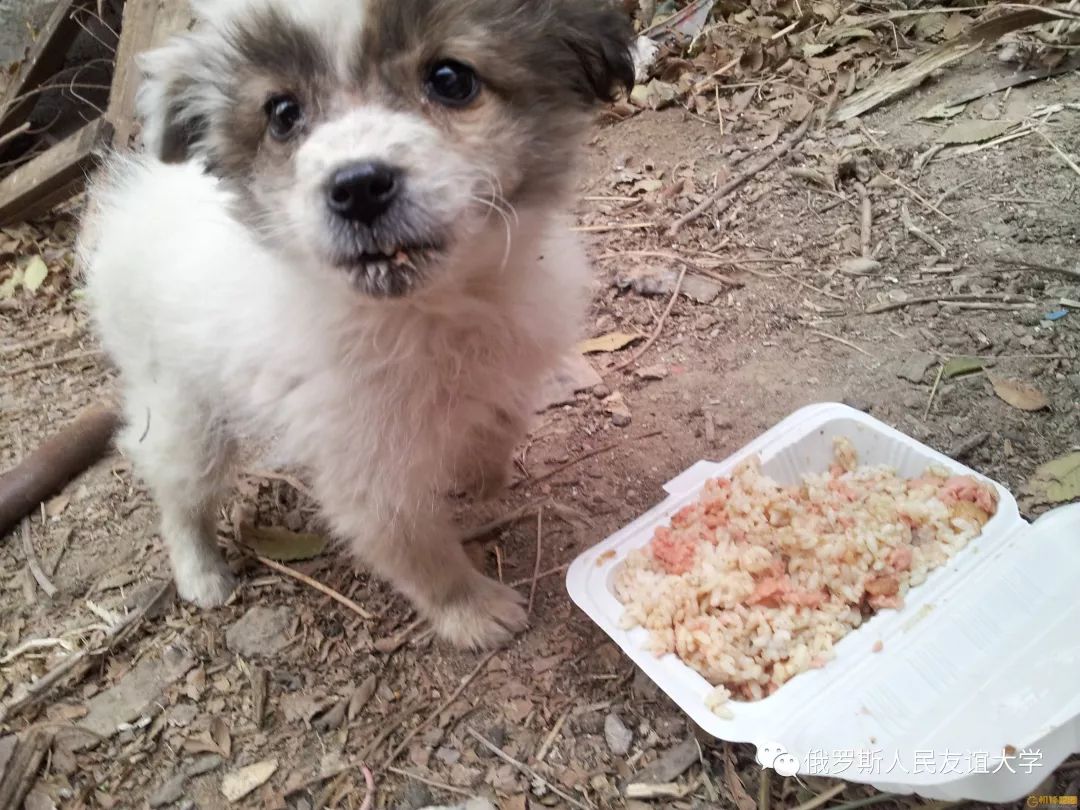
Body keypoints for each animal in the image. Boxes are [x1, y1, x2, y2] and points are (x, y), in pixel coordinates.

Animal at [79, 0, 635, 652]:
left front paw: (480, 480)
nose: (357, 186)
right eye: (283, 114)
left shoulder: (509, 367)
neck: (430, 309)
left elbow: (497, 427)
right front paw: (471, 611)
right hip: (184, 409)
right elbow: (420, 549)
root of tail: (134, 199)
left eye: (451, 79)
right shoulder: (369, 471)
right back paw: (200, 572)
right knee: (175, 487)